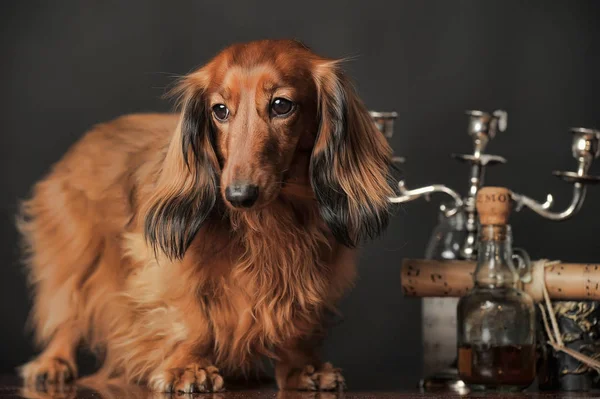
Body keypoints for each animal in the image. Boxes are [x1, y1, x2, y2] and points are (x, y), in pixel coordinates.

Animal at [17, 39, 394, 392]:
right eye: (220, 110)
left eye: (281, 105)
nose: (238, 196)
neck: (268, 221)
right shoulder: (171, 267)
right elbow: (193, 320)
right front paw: (187, 368)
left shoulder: (310, 271)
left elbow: (297, 322)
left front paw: (303, 367)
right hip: (76, 260)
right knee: (66, 313)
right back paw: (53, 363)